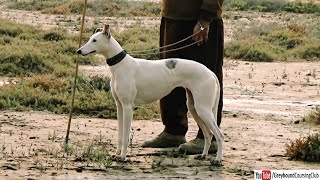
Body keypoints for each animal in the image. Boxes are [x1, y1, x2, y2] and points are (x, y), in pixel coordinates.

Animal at [76, 24, 224, 164]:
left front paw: (123, 157)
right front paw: (117, 154)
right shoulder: (120, 107)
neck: (121, 65)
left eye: (94, 40)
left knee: (219, 135)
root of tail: (210, 72)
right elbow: (120, 135)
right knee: (208, 134)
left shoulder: (128, 107)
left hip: (203, 109)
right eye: (90, 38)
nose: (79, 51)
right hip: (194, 108)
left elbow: (125, 136)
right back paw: (203, 155)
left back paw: (217, 160)